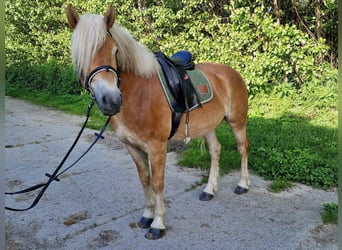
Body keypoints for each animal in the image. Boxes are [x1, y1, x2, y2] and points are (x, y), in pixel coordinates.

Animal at [66, 4, 248, 240]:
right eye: (80, 55)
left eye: (115, 51)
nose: (111, 101)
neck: (137, 93)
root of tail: (231, 73)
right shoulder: (131, 146)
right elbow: (145, 180)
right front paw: (147, 216)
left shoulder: (157, 146)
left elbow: (158, 183)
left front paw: (158, 224)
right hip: (207, 125)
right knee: (215, 150)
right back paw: (209, 190)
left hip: (237, 121)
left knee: (242, 148)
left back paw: (242, 185)